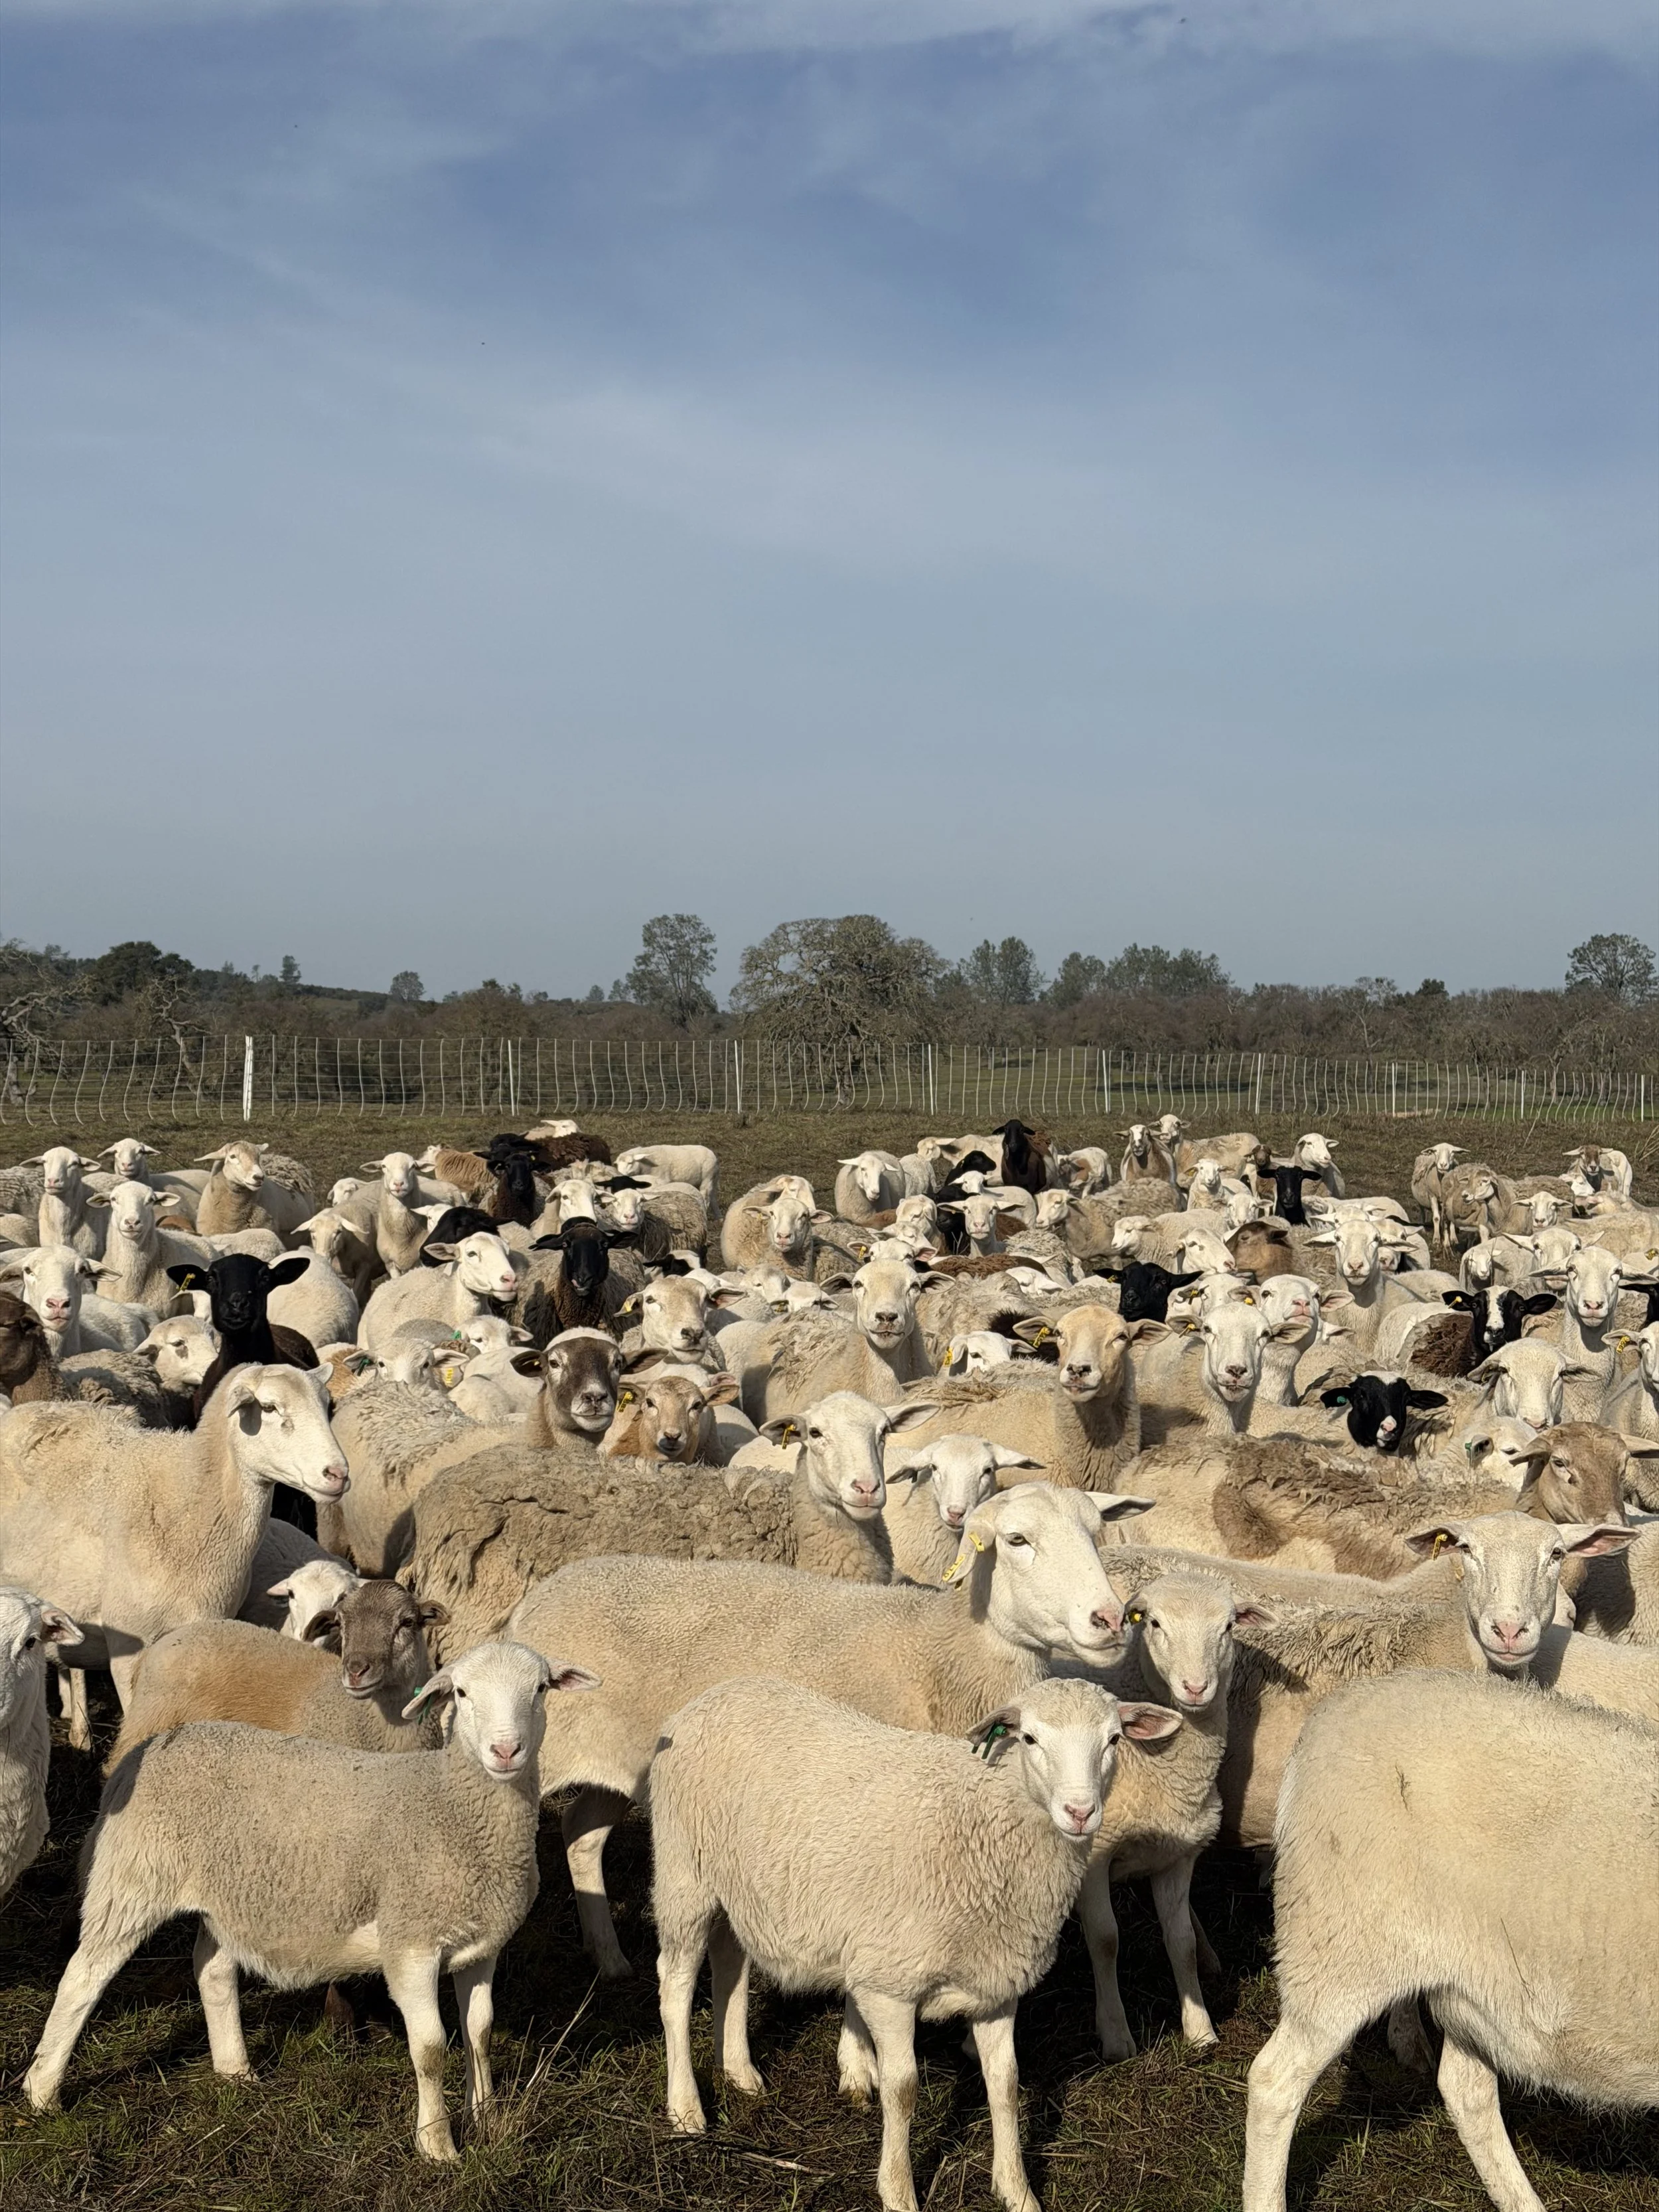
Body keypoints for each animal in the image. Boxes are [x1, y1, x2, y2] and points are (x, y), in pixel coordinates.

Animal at [24, 1639, 599, 2161]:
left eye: (541, 1688)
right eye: (461, 1691)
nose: (506, 1751)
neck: (451, 1806)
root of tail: (154, 1744)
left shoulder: (482, 1943)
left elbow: (479, 2032)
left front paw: (489, 2120)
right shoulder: (409, 1943)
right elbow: (432, 2048)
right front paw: (438, 2145)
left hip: (229, 1891)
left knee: (212, 1968)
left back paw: (235, 2071)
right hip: (135, 1877)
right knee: (82, 1977)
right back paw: (42, 2090)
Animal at [508, 1481, 1142, 1978]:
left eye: (1096, 1533)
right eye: (1016, 1540)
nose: (1111, 1619)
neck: (939, 1652)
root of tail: (542, 1594)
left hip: (623, 1765)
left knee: (580, 1831)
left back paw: (610, 1957)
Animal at [652, 1673, 1169, 2212]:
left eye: (1114, 1740)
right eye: (1030, 1738)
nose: (1080, 1812)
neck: (982, 1820)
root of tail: (716, 1693)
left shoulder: (996, 1981)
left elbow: (1005, 2084)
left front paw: (1017, 2190)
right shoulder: (890, 1986)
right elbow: (902, 2090)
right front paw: (899, 2190)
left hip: (737, 1885)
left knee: (731, 1965)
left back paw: (740, 2072)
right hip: (683, 1872)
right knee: (675, 1986)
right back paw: (686, 2108)